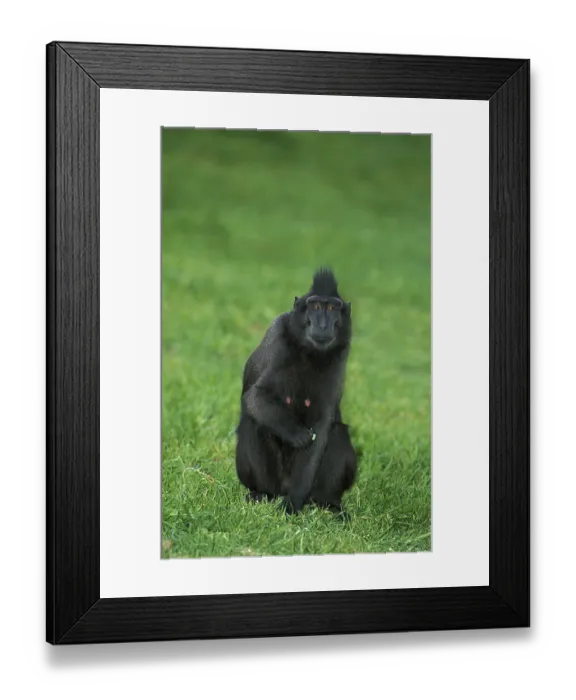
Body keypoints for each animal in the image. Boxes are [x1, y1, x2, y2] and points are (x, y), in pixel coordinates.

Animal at [235, 268, 357, 516]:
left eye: (332, 308)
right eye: (315, 306)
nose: (322, 325)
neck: (310, 351)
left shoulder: (342, 351)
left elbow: (322, 425)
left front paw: (293, 503)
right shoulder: (278, 336)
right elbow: (255, 398)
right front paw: (297, 434)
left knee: (337, 431)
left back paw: (329, 504)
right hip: (274, 479)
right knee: (253, 421)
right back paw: (262, 494)